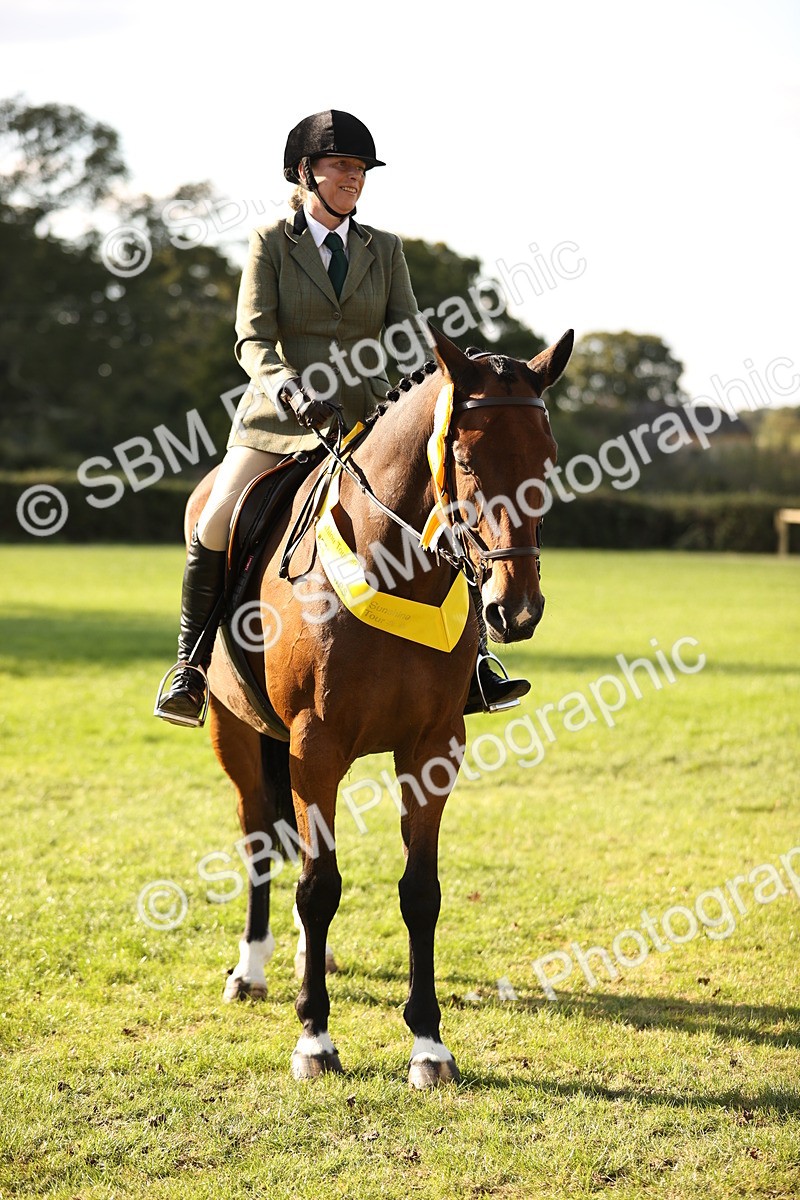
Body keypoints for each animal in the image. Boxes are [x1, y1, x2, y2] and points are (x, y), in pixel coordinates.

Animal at [184, 324, 573, 1087]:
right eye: (464, 458)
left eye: (547, 459)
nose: (514, 610)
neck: (396, 567)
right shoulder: (315, 746)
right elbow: (318, 886)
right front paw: (314, 1037)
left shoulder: (432, 747)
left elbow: (420, 891)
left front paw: (429, 1044)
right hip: (235, 731)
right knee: (259, 838)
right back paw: (252, 968)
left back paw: (308, 956)